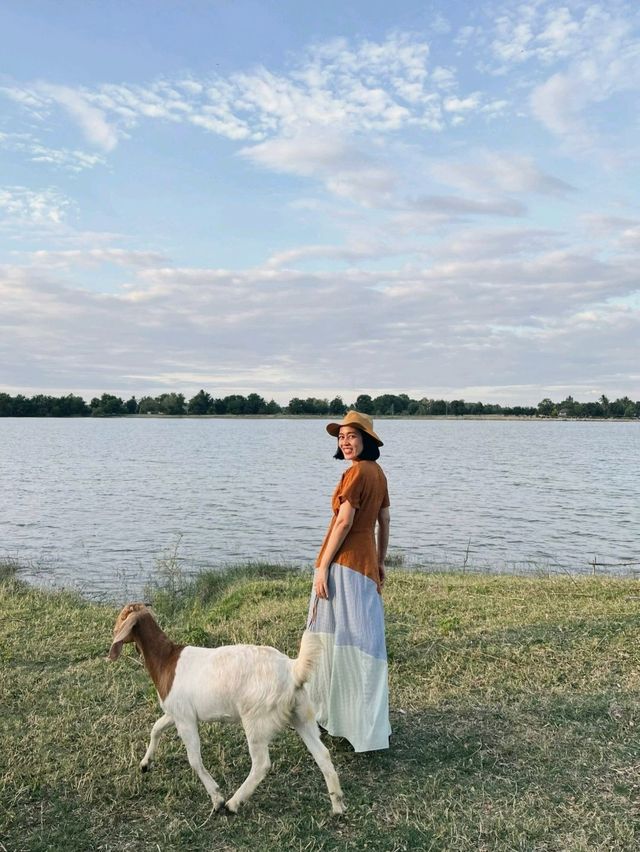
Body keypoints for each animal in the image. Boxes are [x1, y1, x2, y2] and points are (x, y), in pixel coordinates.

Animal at [106, 604, 344, 816]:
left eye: (121, 617)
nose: (113, 633)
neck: (166, 661)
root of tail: (292, 670)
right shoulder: (177, 712)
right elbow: (156, 728)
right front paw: (145, 764)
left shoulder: (185, 718)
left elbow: (194, 760)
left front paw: (216, 798)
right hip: (301, 714)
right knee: (322, 754)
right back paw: (338, 806)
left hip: (256, 719)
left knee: (261, 764)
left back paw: (233, 803)